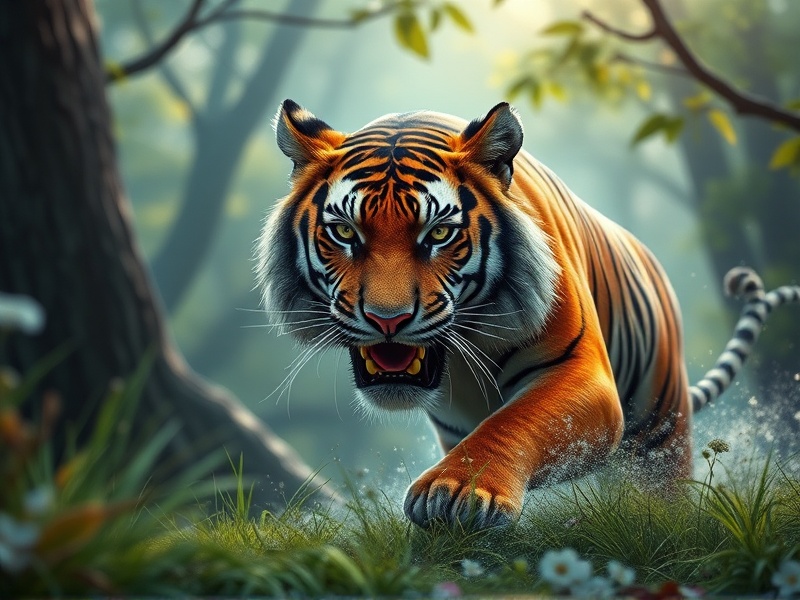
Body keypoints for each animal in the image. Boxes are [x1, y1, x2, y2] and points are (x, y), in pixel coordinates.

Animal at [256, 99, 800, 529]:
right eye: (345, 232)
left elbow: (516, 420)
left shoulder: (583, 373)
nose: (387, 320)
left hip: (660, 427)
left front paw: (457, 491)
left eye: (438, 234)